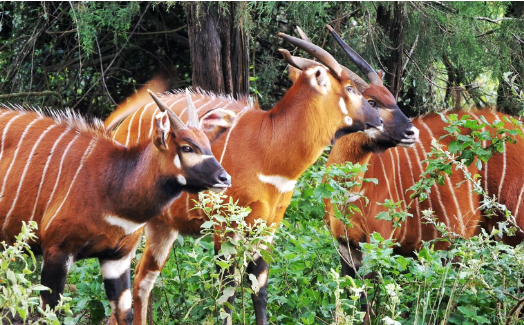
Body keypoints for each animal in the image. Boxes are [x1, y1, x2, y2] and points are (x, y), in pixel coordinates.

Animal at [0, 91, 229, 324]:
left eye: (207, 145)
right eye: (187, 147)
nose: (224, 178)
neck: (111, 183)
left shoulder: (117, 257)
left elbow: (124, 313)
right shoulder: (57, 250)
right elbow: (50, 313)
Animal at [104, 33, 396, 324]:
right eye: (351, 89)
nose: (378, 121)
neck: (268, 146)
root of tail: (122, 127)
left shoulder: (267, 227)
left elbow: (259, 289)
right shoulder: (226, 226)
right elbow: (227, 293)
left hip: (162, 225)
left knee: (142, 280)